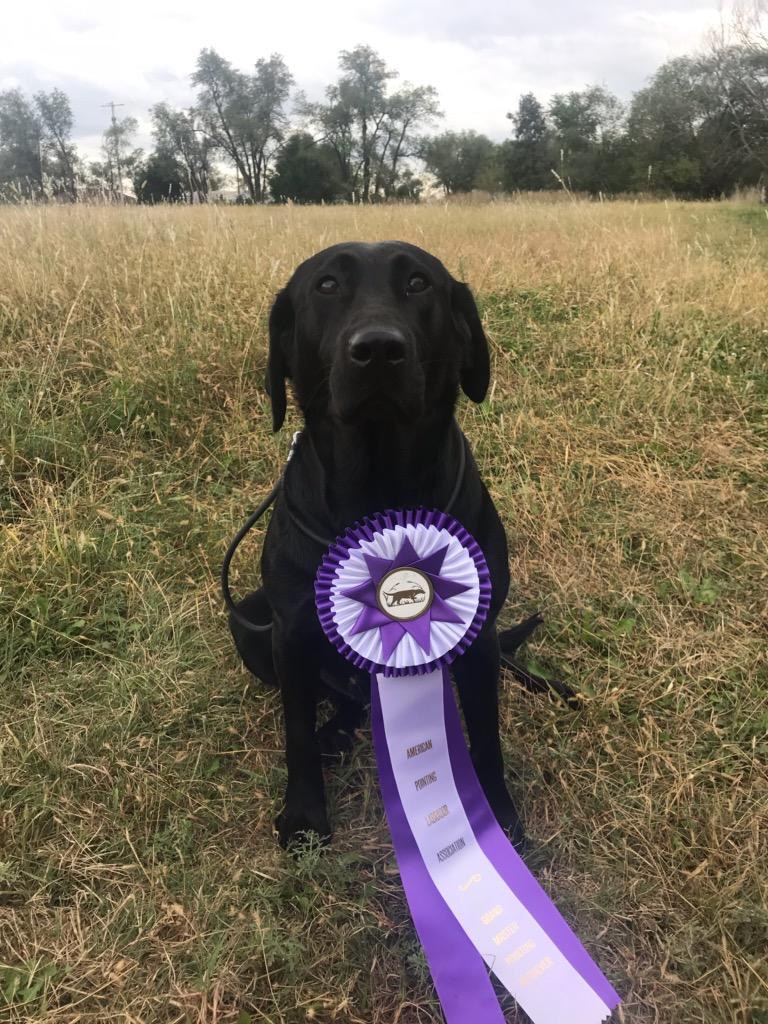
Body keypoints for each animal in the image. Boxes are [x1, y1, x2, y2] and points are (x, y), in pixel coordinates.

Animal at [230, 239, 528, 847]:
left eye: (418, 283)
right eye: (326, 285)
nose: (378, 349)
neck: (378, 488)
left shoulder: (479, 636)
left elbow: (486, 734)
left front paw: (497, 819)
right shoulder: (290, 632)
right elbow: (295, 731)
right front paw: (304, 816)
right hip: (250, 624)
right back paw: (334, 736)